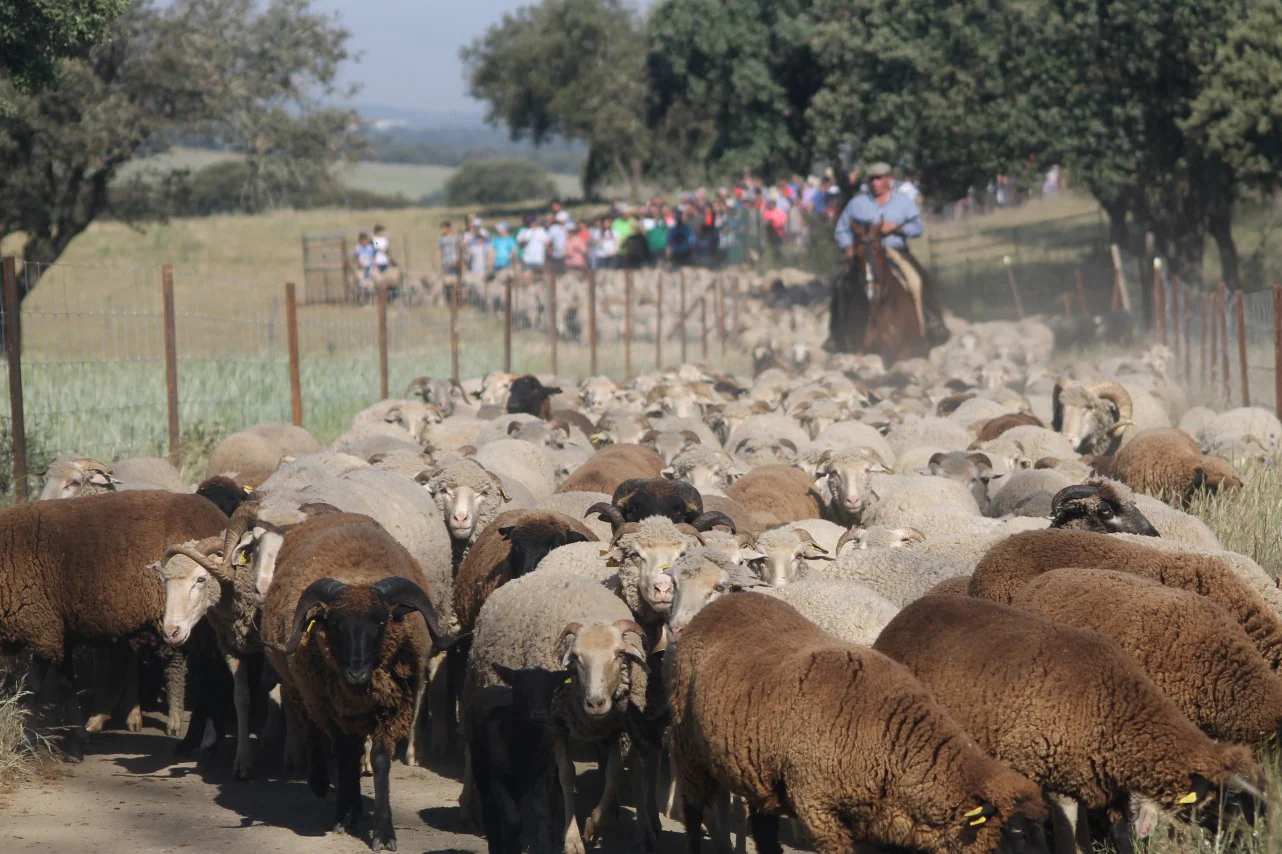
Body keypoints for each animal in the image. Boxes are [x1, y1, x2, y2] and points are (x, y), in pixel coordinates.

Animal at [260, 507, 446, 846]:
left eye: (381, 621)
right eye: (334, 623)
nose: (356, 672)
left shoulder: (393, 708)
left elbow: (379, 759)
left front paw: (382, 831)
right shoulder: (334, 709)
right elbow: (344, 756)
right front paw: (343, 817)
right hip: (304, 690)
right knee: (315, 733)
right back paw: (323, 785)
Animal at [666, 589, 1046, 851]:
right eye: (1013, 836)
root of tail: (719, 604)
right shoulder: (818, 807)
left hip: (758, 770)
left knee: (762, 828)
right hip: (688, 749)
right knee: (695, 813)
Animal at [876, 592, 1266, 846]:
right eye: (1232, 800)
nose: (1259, 839)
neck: (1116, 707)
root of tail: (907, 613)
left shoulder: (1099, 783)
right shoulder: (1041, 772)